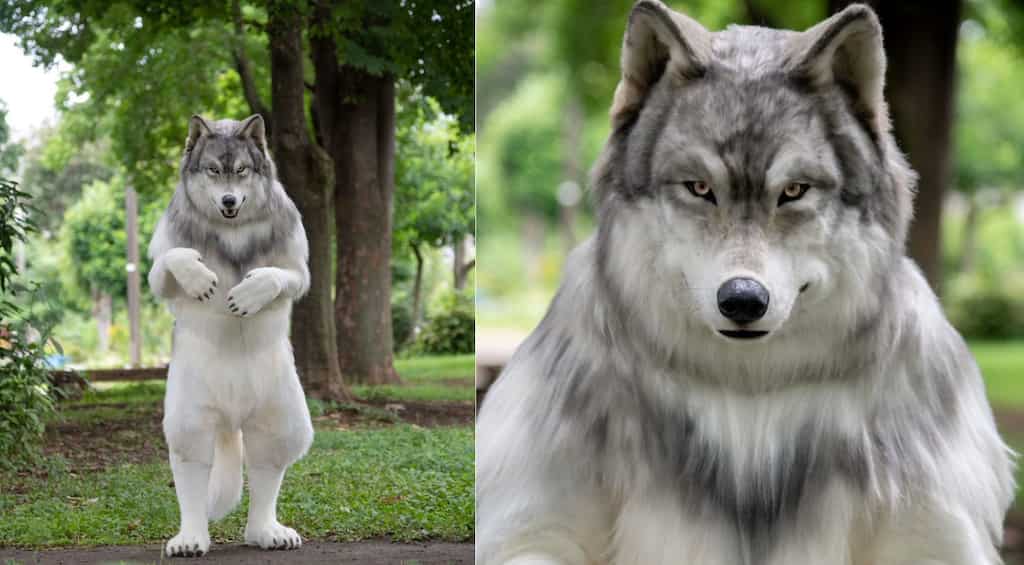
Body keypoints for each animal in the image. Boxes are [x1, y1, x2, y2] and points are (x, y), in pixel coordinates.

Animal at [148, 114, 313, 557]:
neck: (232, 229)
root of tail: (233, 414)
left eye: (241, 171)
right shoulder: (164, 257)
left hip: (279, 406)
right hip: (192, 408)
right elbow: (169, 262)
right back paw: (192, 537)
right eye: (212, 171)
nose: (228, 202)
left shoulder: (294, 261)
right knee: (191, 460)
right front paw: (196, 275)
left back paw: (265, 531)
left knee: (268, 459)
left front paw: (253, 291)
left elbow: (285, 276)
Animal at [476, 2, 1015, 564]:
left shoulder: (935, 536)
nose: (742, 300)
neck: (749, 394)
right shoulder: (534, 530)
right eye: (699, 187)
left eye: (794, 191)